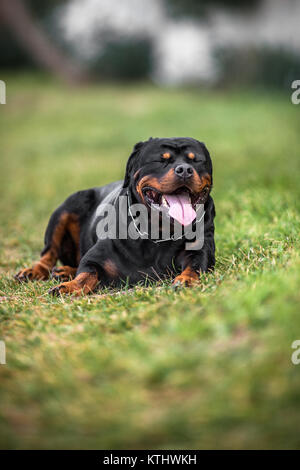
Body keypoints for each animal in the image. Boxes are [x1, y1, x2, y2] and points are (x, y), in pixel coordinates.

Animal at [14, 138, 216, 296]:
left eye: (196, 160)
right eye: (160, 160)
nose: (185, 170)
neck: (158, 231)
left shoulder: (201, 249)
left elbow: (196, 265)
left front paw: (186, 280)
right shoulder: (96, 258)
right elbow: (86, 273)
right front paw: (70, 287)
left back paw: (62, 271)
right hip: (65, 209)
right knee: (48, 252)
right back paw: (35, 271)